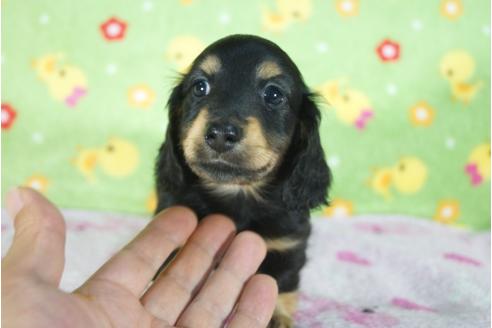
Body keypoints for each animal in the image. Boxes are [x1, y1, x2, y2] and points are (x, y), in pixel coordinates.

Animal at [154, 34, 330, 326]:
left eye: (273, 94)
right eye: (200, 87)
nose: (220, 134)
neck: (236, 193)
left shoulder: (287, 246)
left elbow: (278, 281)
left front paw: (277, 316)